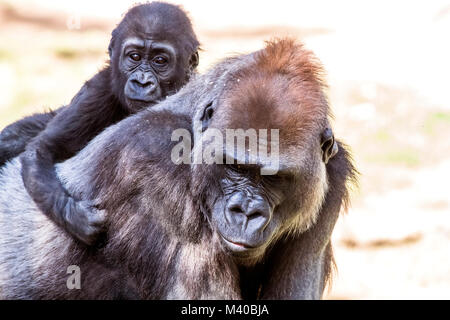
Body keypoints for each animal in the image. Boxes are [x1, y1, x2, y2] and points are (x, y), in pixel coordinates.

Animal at [0, 1, 199, 245]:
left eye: (160, 61)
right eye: (134, 57)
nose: (142, 81)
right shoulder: (97, 89)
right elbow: (43, 148)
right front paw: (75, 216)